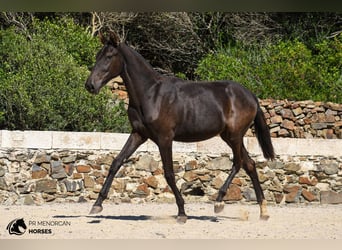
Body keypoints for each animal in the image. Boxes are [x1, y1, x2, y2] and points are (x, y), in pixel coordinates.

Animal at [85, 31, 276, 223]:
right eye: (97, 56)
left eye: (109, 56)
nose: (90, 85)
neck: (150, 94)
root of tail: (252, 96)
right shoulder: (138, 134)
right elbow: (116, 162)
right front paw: (97, 205)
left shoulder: (164, 138)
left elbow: (169, 173)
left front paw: (182, 213)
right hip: (229, 137)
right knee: (249, 164)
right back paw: (264, 212)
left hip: (235, 136)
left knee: (238, 163)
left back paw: (219, 202)